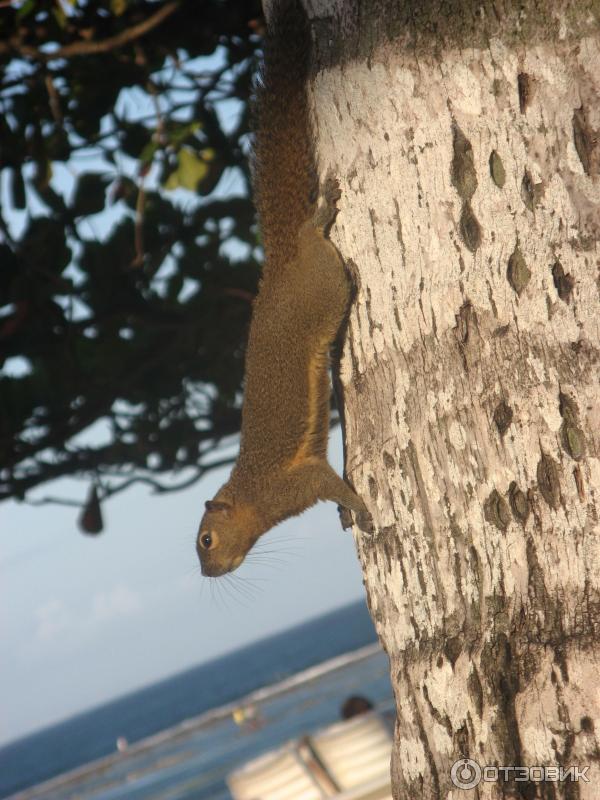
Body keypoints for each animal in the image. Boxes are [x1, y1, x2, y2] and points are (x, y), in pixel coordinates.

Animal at [197, 0, 370, 580]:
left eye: (205, 540)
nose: (207, 573)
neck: (251, 495)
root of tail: (277, 263)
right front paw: (347, 512)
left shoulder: (296, 484)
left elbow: (330, 483)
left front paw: (359, 508)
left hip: (323, 283)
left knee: (316, 244)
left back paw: (319, 216)